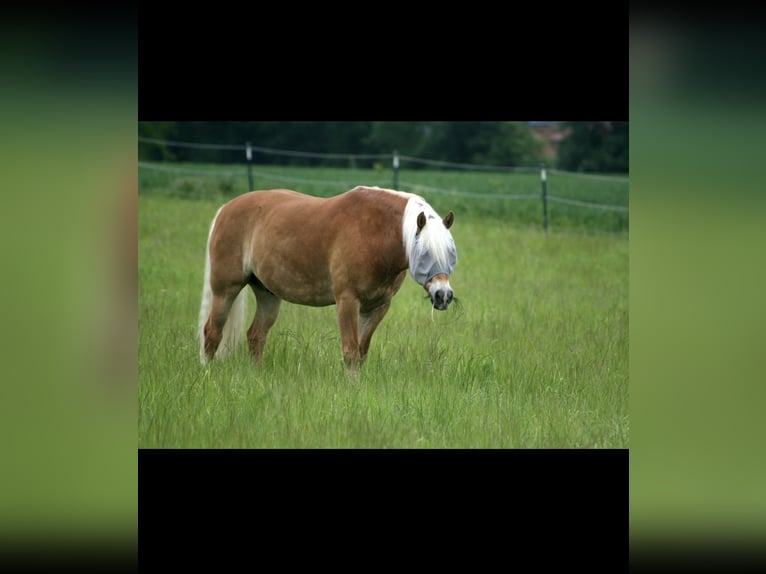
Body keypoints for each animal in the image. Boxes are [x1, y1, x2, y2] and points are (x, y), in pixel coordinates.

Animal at [198, 187, 460, 372]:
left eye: (451, 254)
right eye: (424, 253)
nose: (443, 296)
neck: (375, 233)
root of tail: (225, 208)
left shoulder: (377, 306)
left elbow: (362, 352)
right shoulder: (347, 301)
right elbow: (350, 352)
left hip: (268, 295)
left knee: (255, 336)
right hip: (225, 290)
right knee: (212, 333)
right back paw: (208, 374)